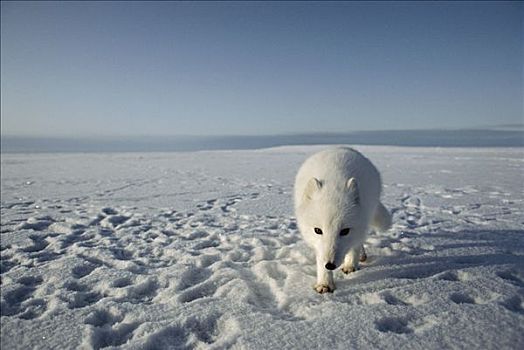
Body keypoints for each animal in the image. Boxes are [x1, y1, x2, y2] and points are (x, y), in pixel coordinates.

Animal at [292, 146, 390, 294]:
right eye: (318, 230)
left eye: (344, 231)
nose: (330, 265)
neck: (333, 184)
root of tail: (340, 148)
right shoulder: (320, 246)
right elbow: (320, 258)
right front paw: (324, 283)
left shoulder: (359, 225)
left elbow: (354, 246)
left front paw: (350, 265)